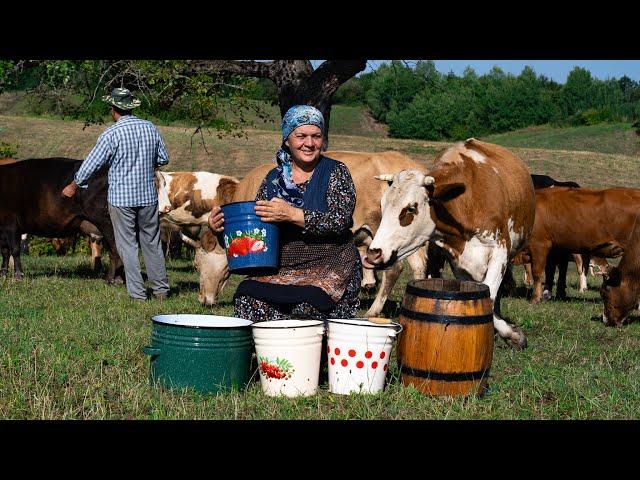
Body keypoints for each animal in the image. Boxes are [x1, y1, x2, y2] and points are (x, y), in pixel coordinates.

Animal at [364, 139, 536, 348]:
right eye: (382, 206)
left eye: (411, 209)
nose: (374, 253)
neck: (467, 202)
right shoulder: (458, 264)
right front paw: (509, 332)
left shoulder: (500, 252)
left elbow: (489, 296)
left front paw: (513, 335)